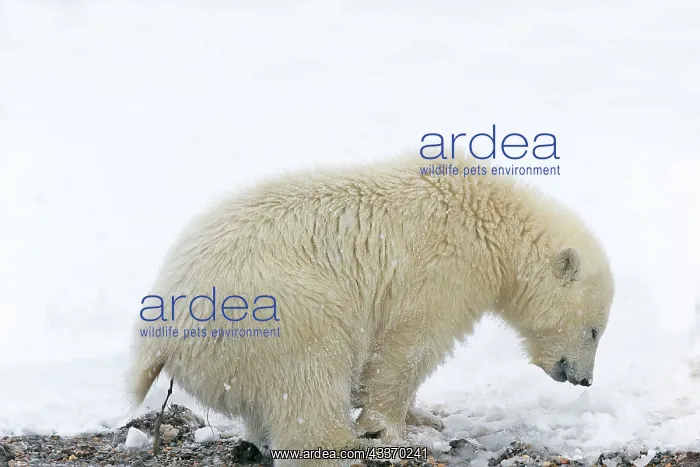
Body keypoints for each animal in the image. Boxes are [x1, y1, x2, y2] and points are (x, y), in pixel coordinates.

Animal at [129, 152, 614, 465]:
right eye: (593, 330)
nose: (585, 379)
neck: (488, 216)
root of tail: (159, 340)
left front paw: (425, 417)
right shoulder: (445, 269)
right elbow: (409, 345)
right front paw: (387, 428)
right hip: (275, 313)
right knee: (310, 377)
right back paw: (344, 446)